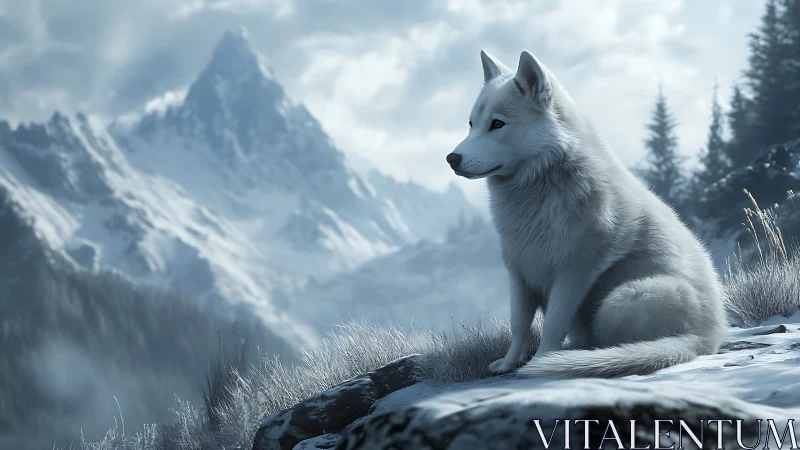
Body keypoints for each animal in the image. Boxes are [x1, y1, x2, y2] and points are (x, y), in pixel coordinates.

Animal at [446, 50, 727, 378]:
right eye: (471, 124)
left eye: (497, 124)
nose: (451, 158)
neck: (541, 190)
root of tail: (708, 338)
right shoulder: (520, 272)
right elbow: (519, 325)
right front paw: (508, 363)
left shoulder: (572, 273)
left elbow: (553, 325)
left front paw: (541, 360)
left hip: (618, 301)